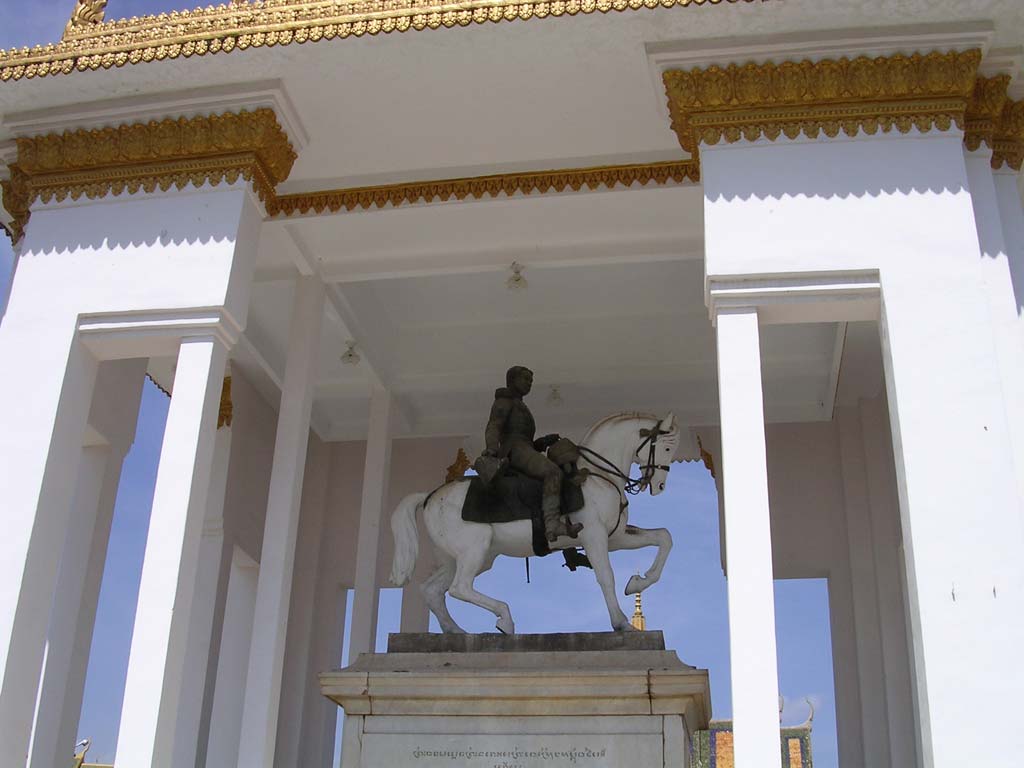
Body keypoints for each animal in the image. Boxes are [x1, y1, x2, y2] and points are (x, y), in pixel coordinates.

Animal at [387, 411, 675, 634]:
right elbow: (606, 576)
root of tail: (430, 496)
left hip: (462, 557)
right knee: (459, 588)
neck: (597, 476)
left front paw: (638, 582)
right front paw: (620, 623)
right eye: (667, 448)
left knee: (432, 590)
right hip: (475, 548)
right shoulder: (594, 535)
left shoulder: (615, 537)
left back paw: (455, 631)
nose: (659, 486)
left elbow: (664, 537)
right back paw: (505, 618)